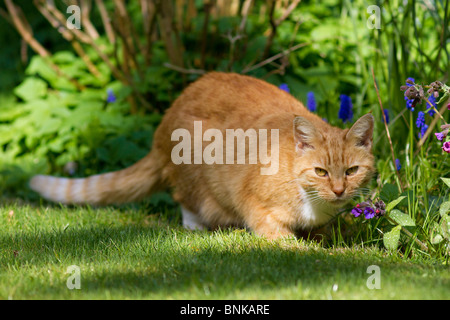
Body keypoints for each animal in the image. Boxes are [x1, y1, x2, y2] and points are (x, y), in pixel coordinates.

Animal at [29, 72, 374, 238]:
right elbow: (276, 233)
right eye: (321, 172)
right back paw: (196, 226)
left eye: (352, 171)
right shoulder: (252, 201)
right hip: (194, 173)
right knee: (185, 200)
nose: (339, 190)